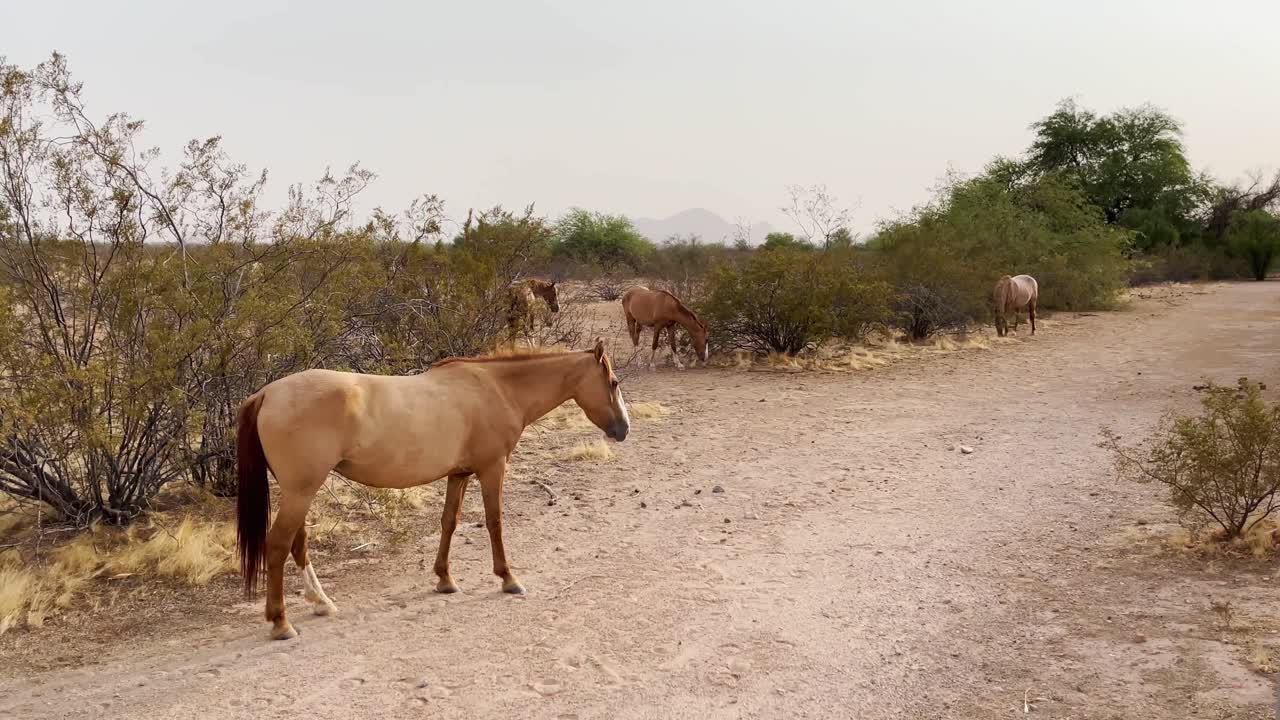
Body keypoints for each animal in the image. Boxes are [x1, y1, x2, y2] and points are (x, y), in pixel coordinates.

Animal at [236, 339, 629, 640]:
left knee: (297, 544)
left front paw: (444, 579)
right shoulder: (492, 468)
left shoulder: (460, 474)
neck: (497, 388)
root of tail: (267, 393)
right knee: (278, 545)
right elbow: (494, 521)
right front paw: (508, 578)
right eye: (613, 382)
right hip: (301, 491)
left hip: (299, 492)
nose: (624, 429)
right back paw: (281, 623)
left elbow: (449, 522)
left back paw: (321, 603)